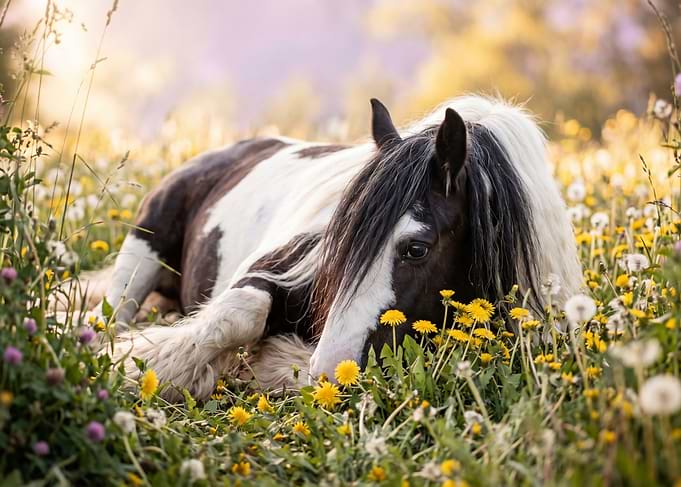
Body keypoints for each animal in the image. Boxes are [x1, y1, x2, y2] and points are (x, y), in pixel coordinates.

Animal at [98, 95, 582, 400]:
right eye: (339, 235)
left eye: (417, 249)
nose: (332, 369)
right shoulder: (274, 267)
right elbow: (238, 316)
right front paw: (134, 364)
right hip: (142, 251)